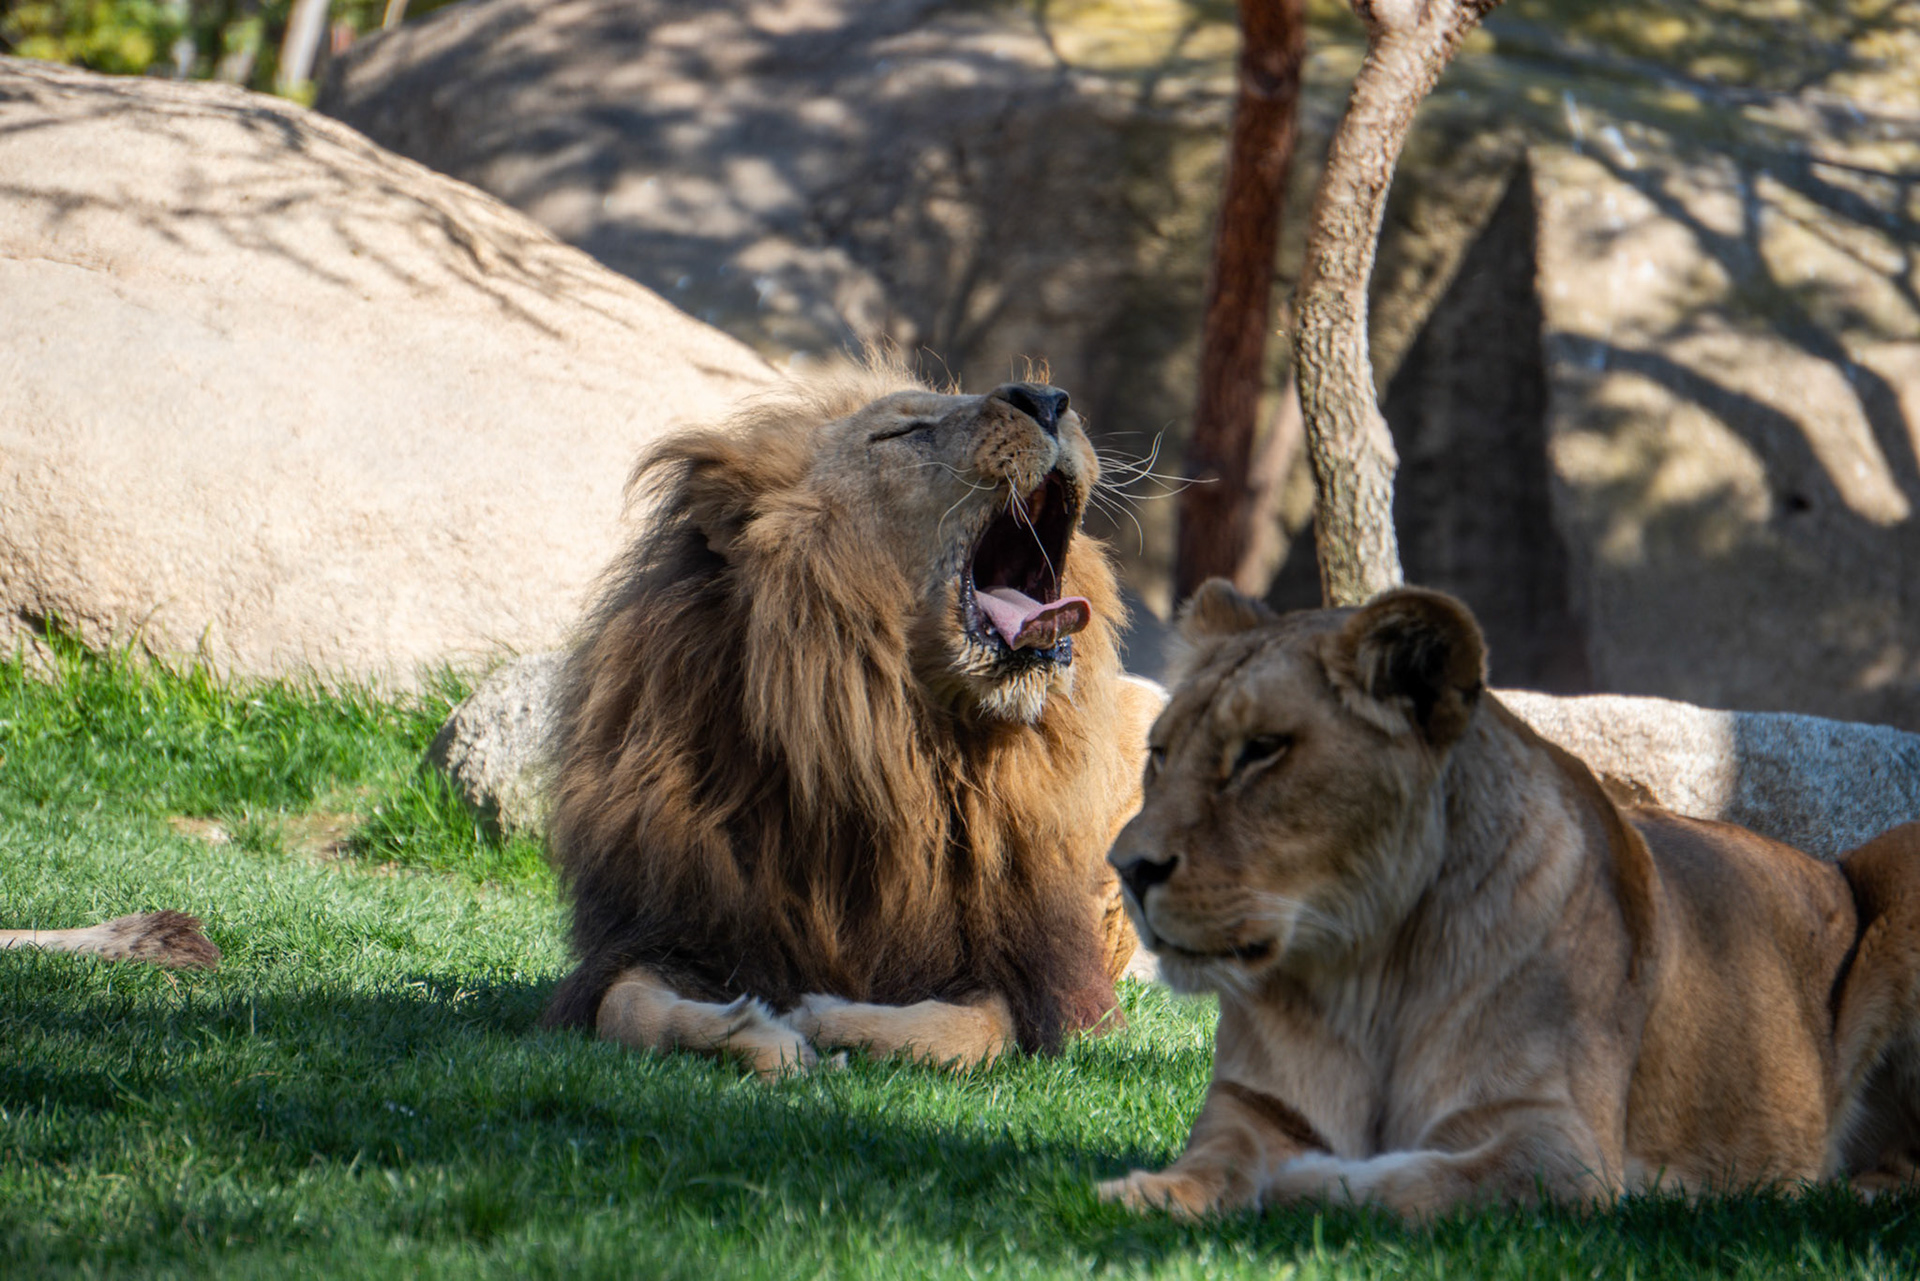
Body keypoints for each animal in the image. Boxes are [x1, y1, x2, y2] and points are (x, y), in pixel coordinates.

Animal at [540, 367, 1161, 1074]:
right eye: (902, 432)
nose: (1048, 399)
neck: (892, 744)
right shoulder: (672, 929)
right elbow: (629, 1010)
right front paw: (761, 1037)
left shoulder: (1034, 981)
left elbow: (965, 1034)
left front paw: (822, 1019)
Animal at [1099, 580, 1920, 1218]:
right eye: (1159, 754)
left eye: (1263, 750)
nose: (1127, 868)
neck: (1366, 975)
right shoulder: (1251, 1103)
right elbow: (1218, 1154)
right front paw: (1150, 1192)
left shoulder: (1561, 1146)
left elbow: (1417, 1183)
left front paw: (1306, 1182)